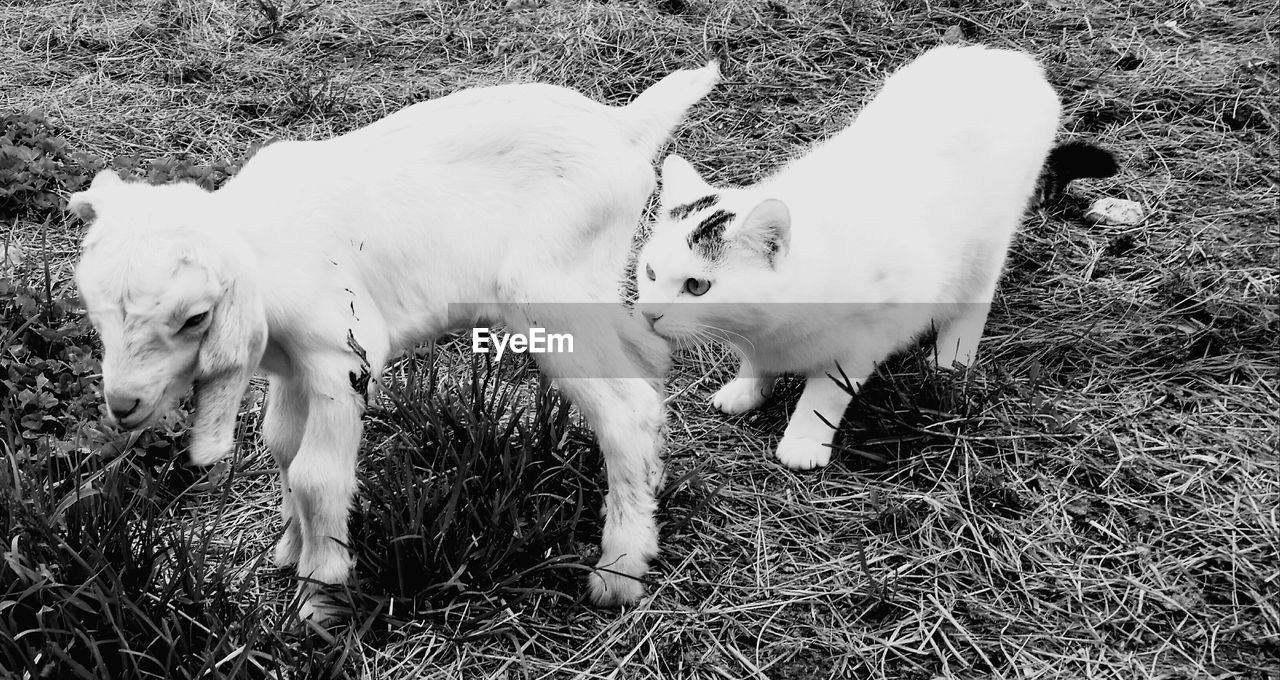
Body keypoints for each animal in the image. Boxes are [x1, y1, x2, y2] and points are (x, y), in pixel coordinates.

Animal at [72, 65, 721, 622]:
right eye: (94, 311)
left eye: (195, 318)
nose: (123, 405)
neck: (268, 246)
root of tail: (623, 126)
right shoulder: (290, 367)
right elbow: (282, 446)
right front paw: (290, 548)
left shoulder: (340, 358)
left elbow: (315, 475)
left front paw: (320, 598)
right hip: (592, 289)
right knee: (645, 358)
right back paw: (650, 487)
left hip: (548, 296)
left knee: (625, 410)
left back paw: (620, 569)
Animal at [634, 45, 1116, 471]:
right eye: (650, 272)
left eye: (697, 286)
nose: (648, 314)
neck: (776, 321)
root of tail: (1009, 60)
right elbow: (756, 362)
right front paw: (748, 390)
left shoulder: (863, 341)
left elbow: (825, 396)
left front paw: (805, 439)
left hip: (986, 244)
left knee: (973, 298)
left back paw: (950, 359)